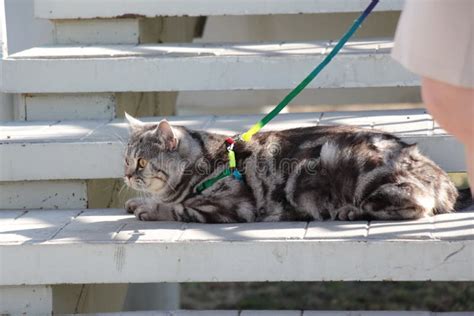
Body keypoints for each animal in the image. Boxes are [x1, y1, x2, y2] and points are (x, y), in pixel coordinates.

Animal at [124, 113, 458, 222]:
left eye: (141, 162)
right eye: (126, 160)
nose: (126, 175)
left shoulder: (229, 207)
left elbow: (177, 208)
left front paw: (148, 208)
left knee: (416, 204)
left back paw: (351, 210)